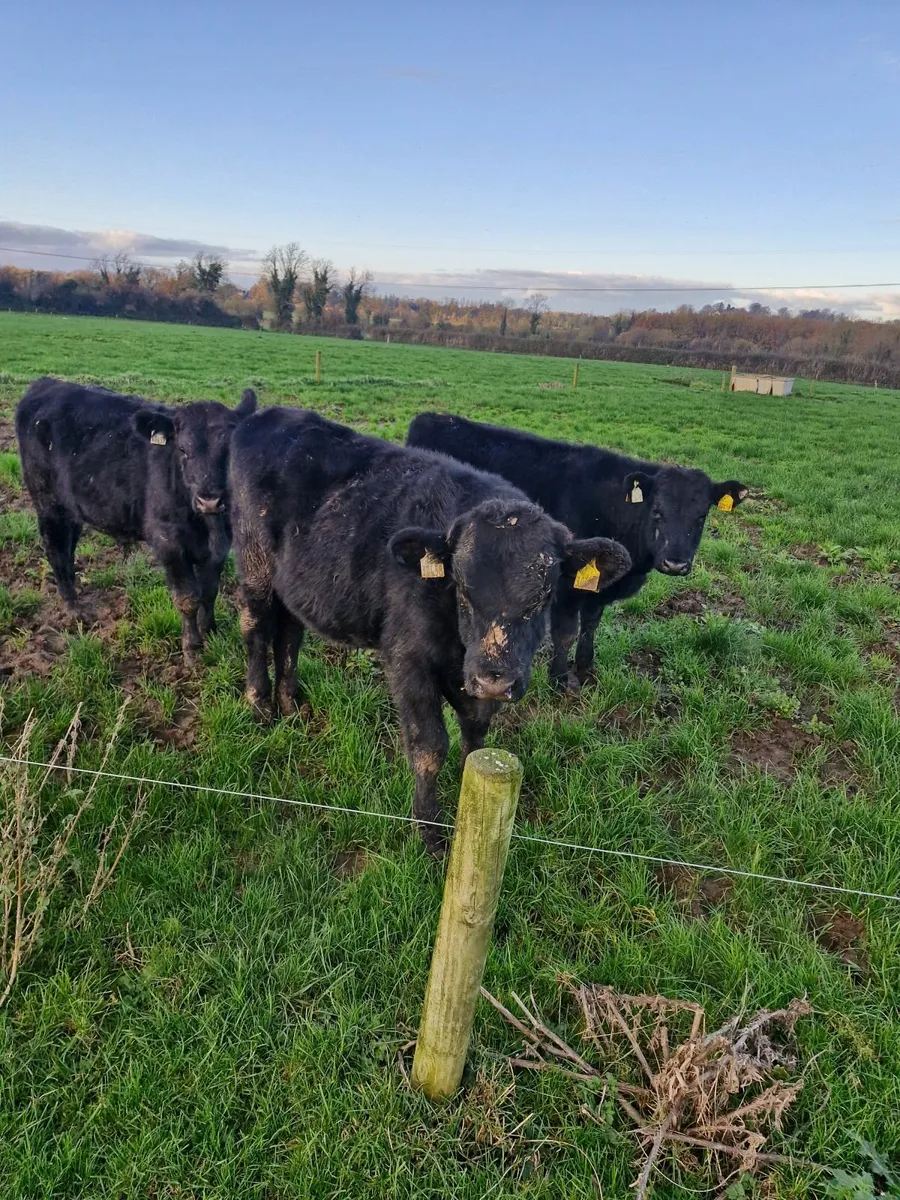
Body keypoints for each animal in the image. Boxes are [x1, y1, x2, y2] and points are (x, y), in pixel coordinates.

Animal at [15, 376, 257, 664]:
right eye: (183, 449)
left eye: (228, 449)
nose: (209, 500)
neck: (207, 526)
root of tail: (46, 383)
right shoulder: (169, 543)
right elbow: (187, 598)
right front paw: (192, 649)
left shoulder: (220, 547)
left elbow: (210, 591)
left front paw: (211, 631)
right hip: (47, 503)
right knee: (55, 550)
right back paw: (72, 607)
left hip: (71, 507)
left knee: (68, 547)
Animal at [228, 407, 631, 852]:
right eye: (463, 589)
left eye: (543, 596)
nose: (495, 679)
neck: (458, 644)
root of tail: (268, 416)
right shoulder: (409, 662)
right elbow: (429, 747)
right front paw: (429, 832)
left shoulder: (478, 678)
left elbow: (476, 734)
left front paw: (467, 790)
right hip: (255, 567)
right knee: (254, 628)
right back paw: (260, 704)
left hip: (293, 587)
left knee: (289, 634)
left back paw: (290, 705)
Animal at [407, 413, 748, 692]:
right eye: (657, 512)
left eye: (701, 516)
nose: (675, 563)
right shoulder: (565, 588)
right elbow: (566, 633)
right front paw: (559, 679)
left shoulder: (598, 586)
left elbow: (590, 626)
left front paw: (586, 668)